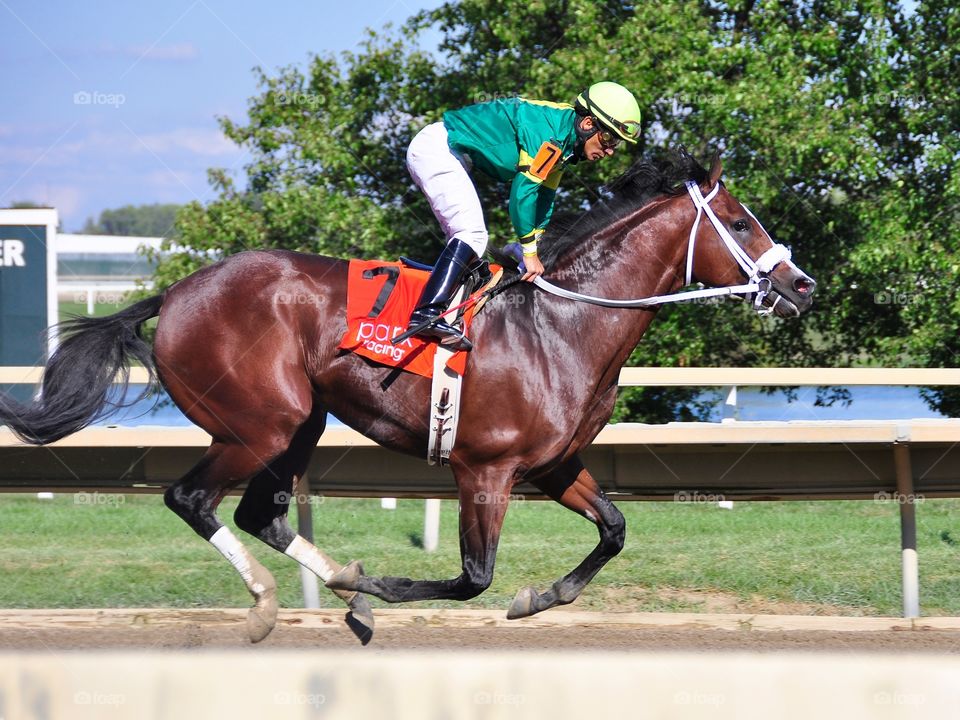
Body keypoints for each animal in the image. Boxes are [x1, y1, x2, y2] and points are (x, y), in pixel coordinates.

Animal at [0, 149, 812, 644]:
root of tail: (172, 293)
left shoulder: (552, 465)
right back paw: (272, 602)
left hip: (300, 423)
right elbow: (474, 577)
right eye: (739, 222)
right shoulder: (484, 470)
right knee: (191, 500)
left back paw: (345, 586)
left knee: (259, 513)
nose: (799, 284)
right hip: (258, 426)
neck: (561, 325)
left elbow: (613, 530)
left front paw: (541, 597)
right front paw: (392, 585)